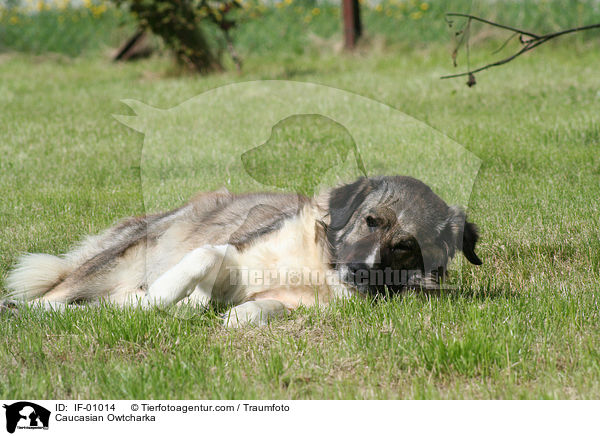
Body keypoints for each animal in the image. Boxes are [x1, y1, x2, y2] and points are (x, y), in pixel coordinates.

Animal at [3, 175, 482, 326]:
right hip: (122, 257)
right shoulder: (231, 253)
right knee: (52, 297)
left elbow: (255, 310)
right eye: (371, 221)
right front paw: (164, 300)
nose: (359, 272)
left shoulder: (290, 302)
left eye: (405, 247)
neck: (318, 265)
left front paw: (232, 315)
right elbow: (204, 259)